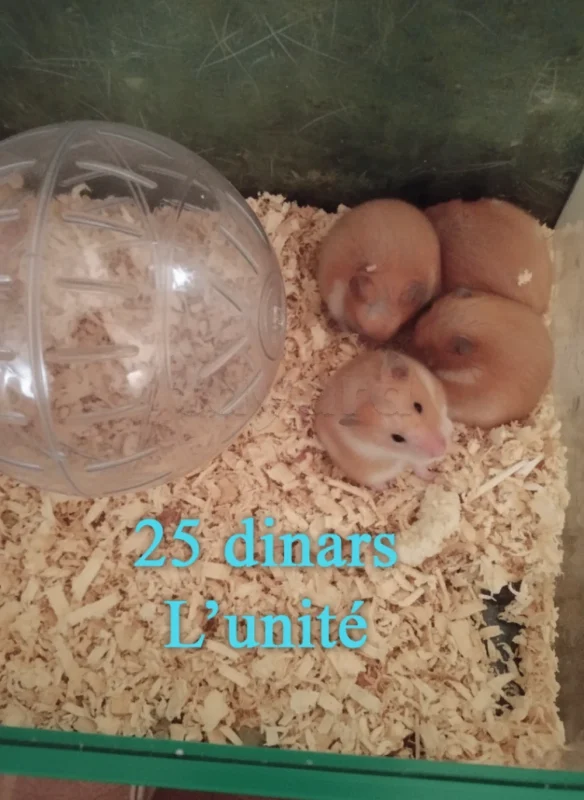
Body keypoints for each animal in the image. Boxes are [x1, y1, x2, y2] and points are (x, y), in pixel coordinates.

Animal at [314, 349, 453, 489]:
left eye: (419, 406)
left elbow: (420, 467)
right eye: (397, 438)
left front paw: (434, 475)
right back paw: (387, 487)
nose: (441, 451)